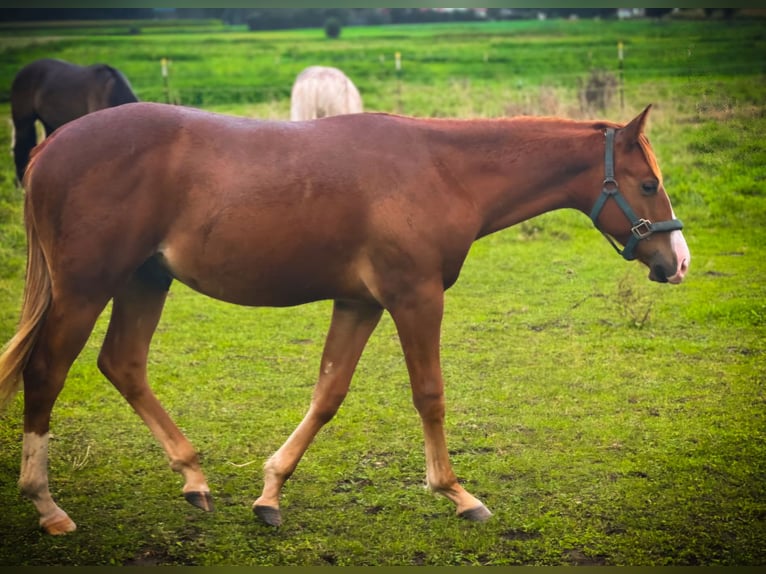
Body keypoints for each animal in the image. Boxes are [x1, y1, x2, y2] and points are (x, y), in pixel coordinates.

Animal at [0, 102, 688, 536]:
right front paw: (458, 494)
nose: (677, 261)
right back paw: (47, 505)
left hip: (146, 279)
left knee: (123, 363)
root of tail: (50, 147)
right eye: (647, 184)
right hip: (86, 289)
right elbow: (430, 394)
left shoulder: (361, 303)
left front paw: (270, 492)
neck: (441, 171)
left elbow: (328, 393)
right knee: (46, 372)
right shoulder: (415, 298)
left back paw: (193, 477)